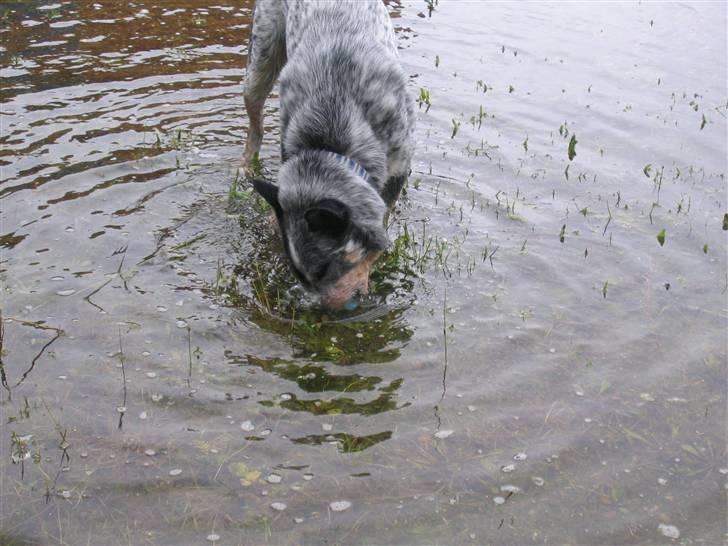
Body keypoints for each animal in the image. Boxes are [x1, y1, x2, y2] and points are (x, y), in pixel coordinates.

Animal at [245, 0, 416, 308]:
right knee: (256, 127)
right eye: (300, 275)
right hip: (259, 63)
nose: (325, 312)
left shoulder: (399, 166)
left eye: (324, 269)